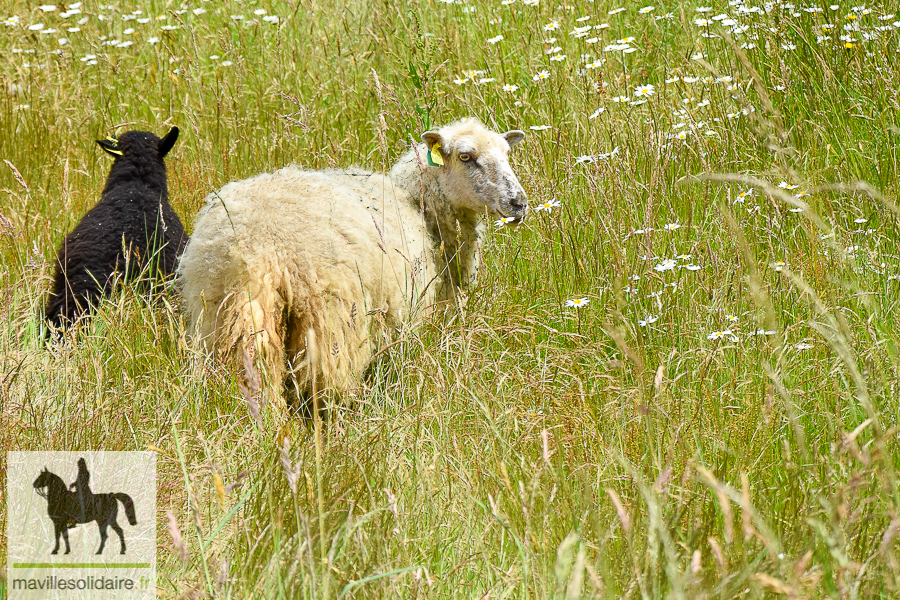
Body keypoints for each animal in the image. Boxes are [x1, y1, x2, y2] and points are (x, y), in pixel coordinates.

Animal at [178, 118, 528, 408]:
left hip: (225, 319)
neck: (416, 205)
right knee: (324, 388)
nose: (519, 203)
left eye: (507, 154)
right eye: (466, 157)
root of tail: (262, 250)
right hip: (330, 322)